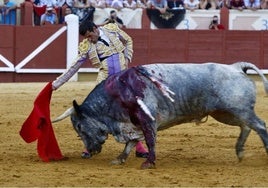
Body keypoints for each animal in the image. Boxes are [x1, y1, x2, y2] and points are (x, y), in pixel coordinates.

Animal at [53, 62, 268, 169]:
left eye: (79, 126)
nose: (89, 151)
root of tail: (236, 66)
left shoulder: (147, 120)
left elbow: (150, 141)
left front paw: (149, 162)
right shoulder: (133, 124)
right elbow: (130, 143)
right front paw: (119, 159)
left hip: (238, 109)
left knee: (260, 125)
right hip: (225, 113)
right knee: (246, 126)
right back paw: (239, 151)